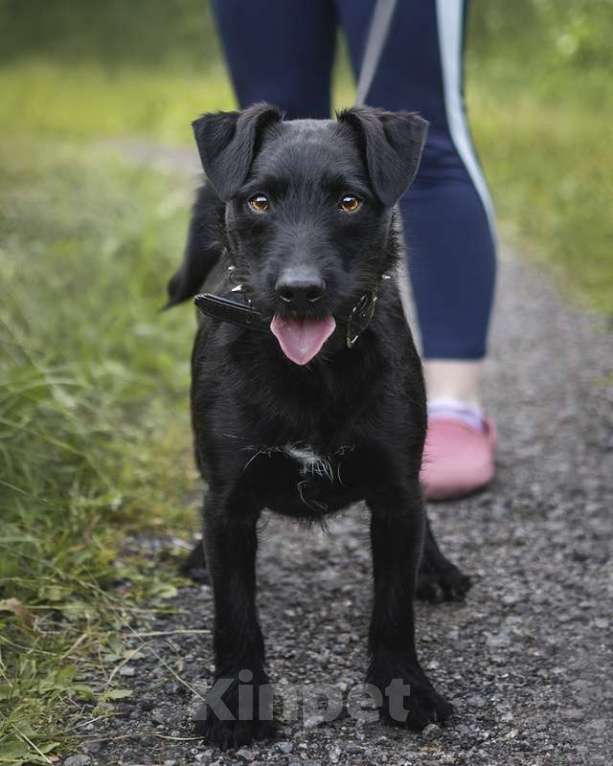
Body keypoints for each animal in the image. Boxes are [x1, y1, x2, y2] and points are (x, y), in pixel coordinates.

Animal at [167, 103, 468, 752]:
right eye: (258, 201)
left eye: (350, 202)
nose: (299, 291)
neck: (312, 369)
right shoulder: (229, 503)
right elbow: (235, 615)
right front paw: (237, 699)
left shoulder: (395, 495)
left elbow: (393, 609)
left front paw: (404, 686)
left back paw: (434, 566)